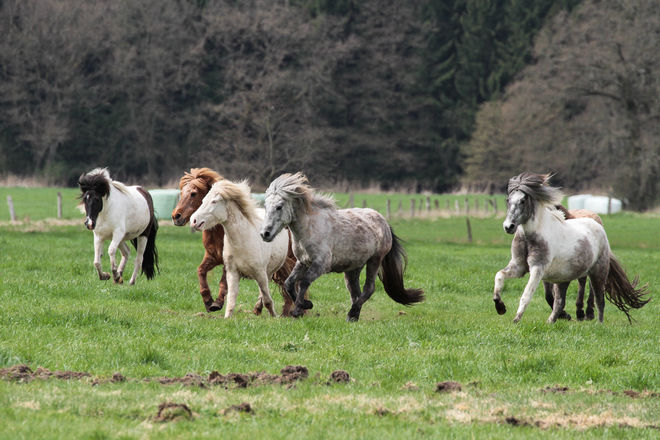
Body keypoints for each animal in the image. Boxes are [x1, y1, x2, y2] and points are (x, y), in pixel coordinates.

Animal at [170, 168, 300, 316]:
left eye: (193, 193)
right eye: (181, 193)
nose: (176, 216)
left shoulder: (229, 265)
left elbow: (223, 282)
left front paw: (217, 303)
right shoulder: (213, 257)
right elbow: (201, 271)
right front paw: (208, 301)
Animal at [258, 171, 422, 320]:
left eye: (279, 206)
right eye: (266, 206)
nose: (265, 234)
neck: (310, 228)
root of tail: (385, 223)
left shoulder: (321, 264)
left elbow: (304, 282)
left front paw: (299, 310)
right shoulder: (303, 262)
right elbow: (289, 283)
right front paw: (307, 305)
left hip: (375, 260)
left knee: (369, 289)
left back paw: (351, 313)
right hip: (353, 269)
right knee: (355, 292)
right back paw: (353, 316)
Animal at [492, 172, 648, 324]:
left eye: (523, 201)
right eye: (508, 200)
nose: (508, 226)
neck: (529, 238)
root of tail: (598, 225)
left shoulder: (537, 268)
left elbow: (526, 295)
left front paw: (515, 320)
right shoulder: (519, 267)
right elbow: (499, 275)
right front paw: (500, 307)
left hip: (597, 272)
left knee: (599, 299)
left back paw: (596, 322)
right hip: (563, 279)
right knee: (560, 302)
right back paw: (552, 322)